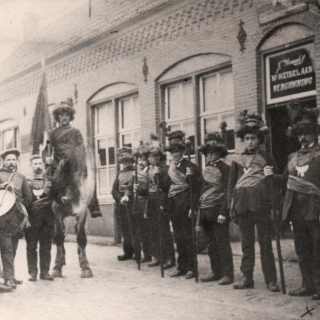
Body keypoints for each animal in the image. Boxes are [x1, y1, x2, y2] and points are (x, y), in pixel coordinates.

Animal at [50, 145, 95, 278]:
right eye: (63, 173)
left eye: (83, 174)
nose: (67, 199)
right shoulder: (57, 214)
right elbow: (59, 236)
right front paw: (57, 267)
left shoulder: (81, 212)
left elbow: (81, 237)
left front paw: (85, 267)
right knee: (58, 235)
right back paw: (61, 260)